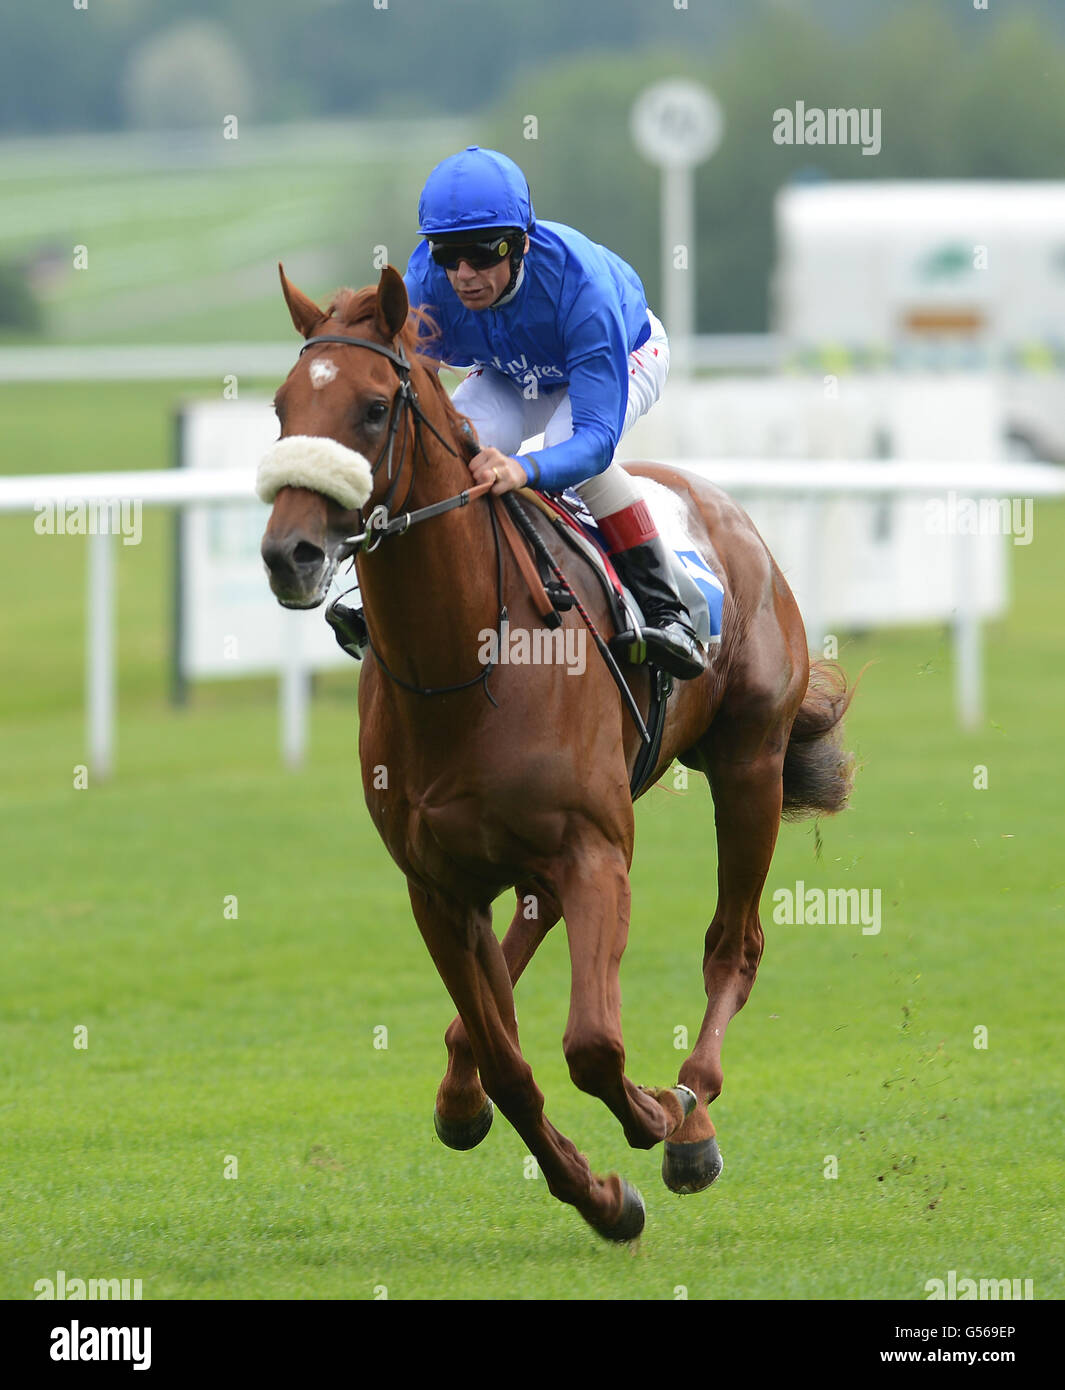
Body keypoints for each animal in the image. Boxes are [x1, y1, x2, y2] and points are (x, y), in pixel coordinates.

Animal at [258, 265, 856, 1245]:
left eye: (376, 408)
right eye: (279, 406)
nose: (289, 553)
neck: (466, 664)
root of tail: (725, 510)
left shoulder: (597, 853)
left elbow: (593, 1045)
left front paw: (656, 1116)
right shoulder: (437, 887)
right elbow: (509, 1062)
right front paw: (601, 1198)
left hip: (748, 767)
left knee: (733, 943)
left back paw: (693, 1111)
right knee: (516, 956)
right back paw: (468, 1095)